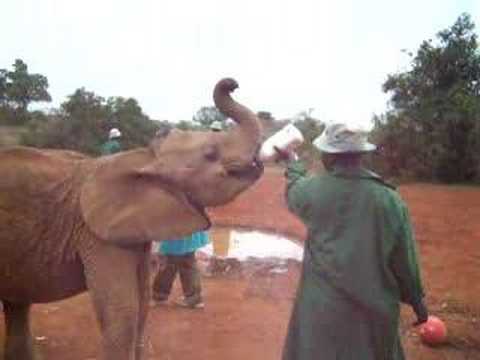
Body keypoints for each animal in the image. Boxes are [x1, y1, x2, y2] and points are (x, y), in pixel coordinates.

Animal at [0, 79, 262, 360]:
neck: (145, 159)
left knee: (17, 302)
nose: (232, 84)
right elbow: (123, 313)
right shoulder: (96, 235)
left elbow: (142, 305)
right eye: (211, 154)